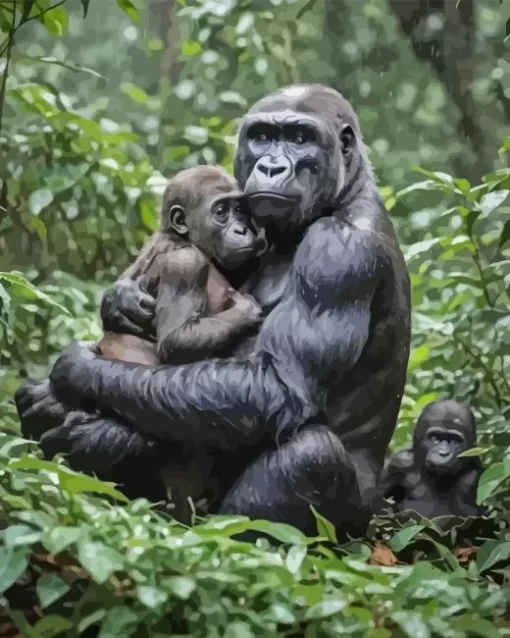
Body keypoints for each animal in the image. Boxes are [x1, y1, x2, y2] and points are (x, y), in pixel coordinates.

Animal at [95, 166, 268, 524]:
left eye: (241, 209)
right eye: (221, 211)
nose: (242, 228)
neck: (184, 240)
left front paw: (118, 301)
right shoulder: (186, 265)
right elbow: (177, 342)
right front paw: (245, 310)